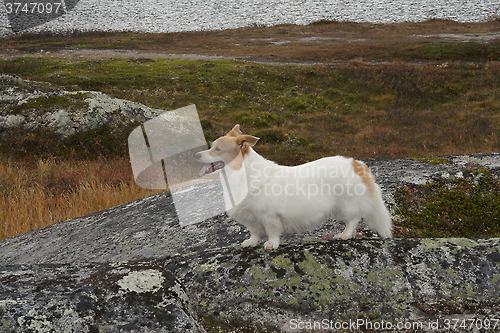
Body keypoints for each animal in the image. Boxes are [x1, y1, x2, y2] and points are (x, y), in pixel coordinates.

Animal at [197, 124, 392, 249]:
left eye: (218, 150)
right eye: (212, 147)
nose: (197, 155)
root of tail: (357, 164)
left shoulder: (270, 216)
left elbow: (271, 232)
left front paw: (271, 244)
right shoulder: (251, 218)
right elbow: (255, 233)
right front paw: (251, 243)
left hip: (347, 204)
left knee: (353, 220)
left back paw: (344, 235)